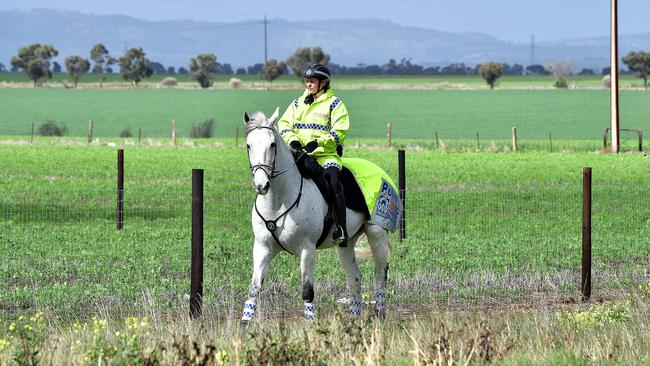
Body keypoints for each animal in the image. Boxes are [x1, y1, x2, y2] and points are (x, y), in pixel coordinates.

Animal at [238, 107, 390, 324]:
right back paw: (353, 319)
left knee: (380, 273)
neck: (278, 201)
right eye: (248, 145)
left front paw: (310, 324)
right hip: (346, 244)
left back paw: (379, 313)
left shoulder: (307, 249)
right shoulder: (262, 248)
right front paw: (244, 325)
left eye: (272, 144)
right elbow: (254, 288)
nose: (261, 185)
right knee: (355, 278)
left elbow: (307, 291)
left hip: (377, 233)